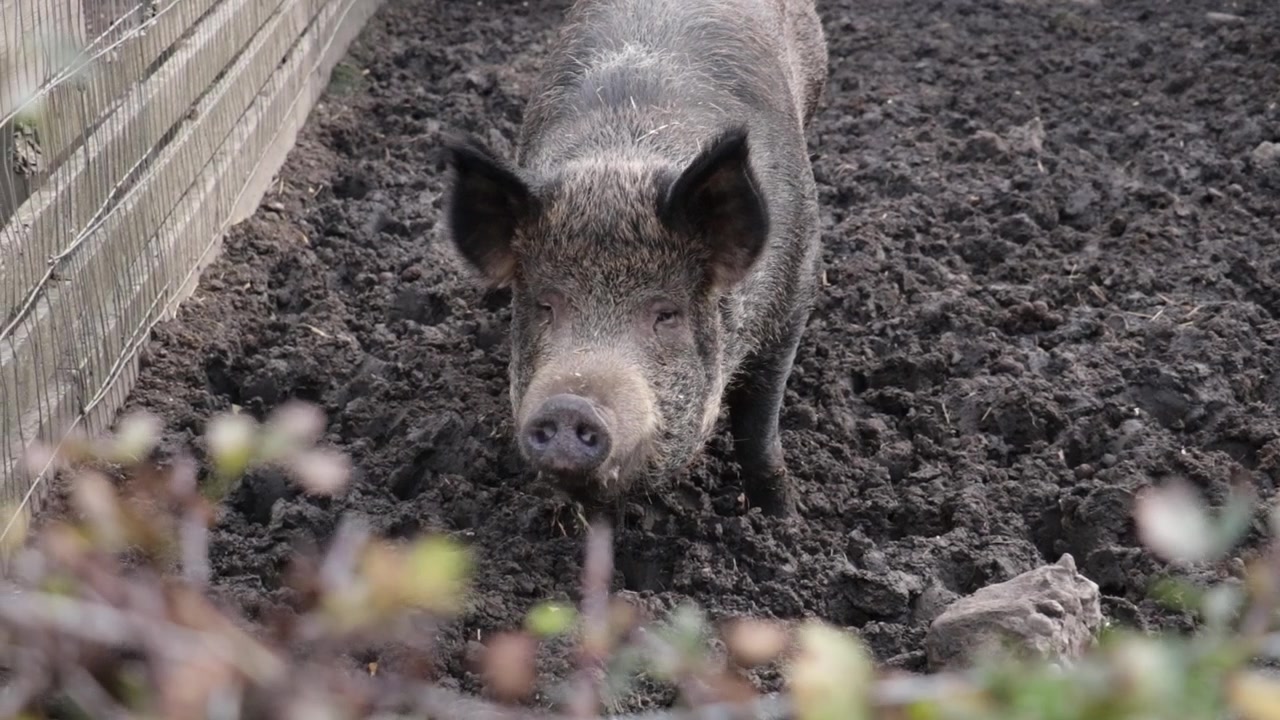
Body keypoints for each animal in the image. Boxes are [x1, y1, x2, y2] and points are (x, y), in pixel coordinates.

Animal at [439, 0, 828, 517]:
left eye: (666, 314)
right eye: (545, 305)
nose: (571, 406)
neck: (621, 160)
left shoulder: (795, 298)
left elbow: (757, 429)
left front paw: (784, 517)